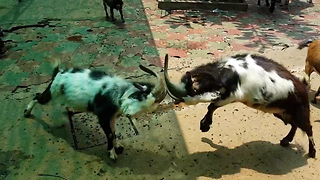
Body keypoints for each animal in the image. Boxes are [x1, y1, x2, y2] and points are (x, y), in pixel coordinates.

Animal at [23, 61, 166, 161]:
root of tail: (59, 73)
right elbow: (109, 134)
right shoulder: (103, 116)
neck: (119, 93)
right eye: (140, 97)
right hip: (53, 92)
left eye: (147, 108)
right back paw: (27, 112)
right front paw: (112, 154)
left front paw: (117, 146)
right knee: (37, 96)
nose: (129, 114)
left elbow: (113, 132)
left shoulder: (112, 117)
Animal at [164, 53, 316, 158]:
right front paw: (204, 126)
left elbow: (212, 106)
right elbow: (212, 106)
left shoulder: (231, 95)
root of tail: (304, 88)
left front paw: (204, 125)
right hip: (280, 112)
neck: (229, 72)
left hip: (301, 112)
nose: (176, 100)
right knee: (294, 124)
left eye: (194, 89)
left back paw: (312, 152)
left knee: (308, 128)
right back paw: (285, 141)